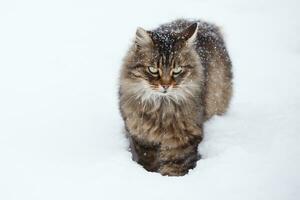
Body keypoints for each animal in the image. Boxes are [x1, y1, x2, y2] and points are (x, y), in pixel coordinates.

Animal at [118, 18, 233, 175]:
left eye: (177, 70)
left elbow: (176, 165)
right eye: (153, 70)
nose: (166, 85)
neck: (161, 109)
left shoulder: (182, 139)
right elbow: (148, 162)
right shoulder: (141, 137)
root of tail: (207, 24)